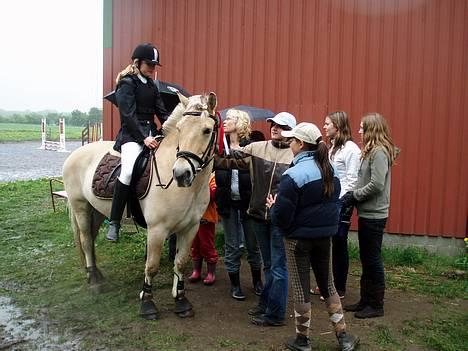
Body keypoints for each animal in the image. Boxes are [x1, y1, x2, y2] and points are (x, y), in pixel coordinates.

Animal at [61, 92, 219, 320]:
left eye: (206, 130)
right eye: (180, 129)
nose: (181, 174)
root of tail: (77, 153)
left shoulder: (190, 228)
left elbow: (180, 262)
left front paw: (181, 301)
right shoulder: (157, 230)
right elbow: (151, 266)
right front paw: (147, 304)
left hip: (95, 211)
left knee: (90, 237)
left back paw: (97, 275)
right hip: (80, 206)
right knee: (86, 240)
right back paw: (94, 282)